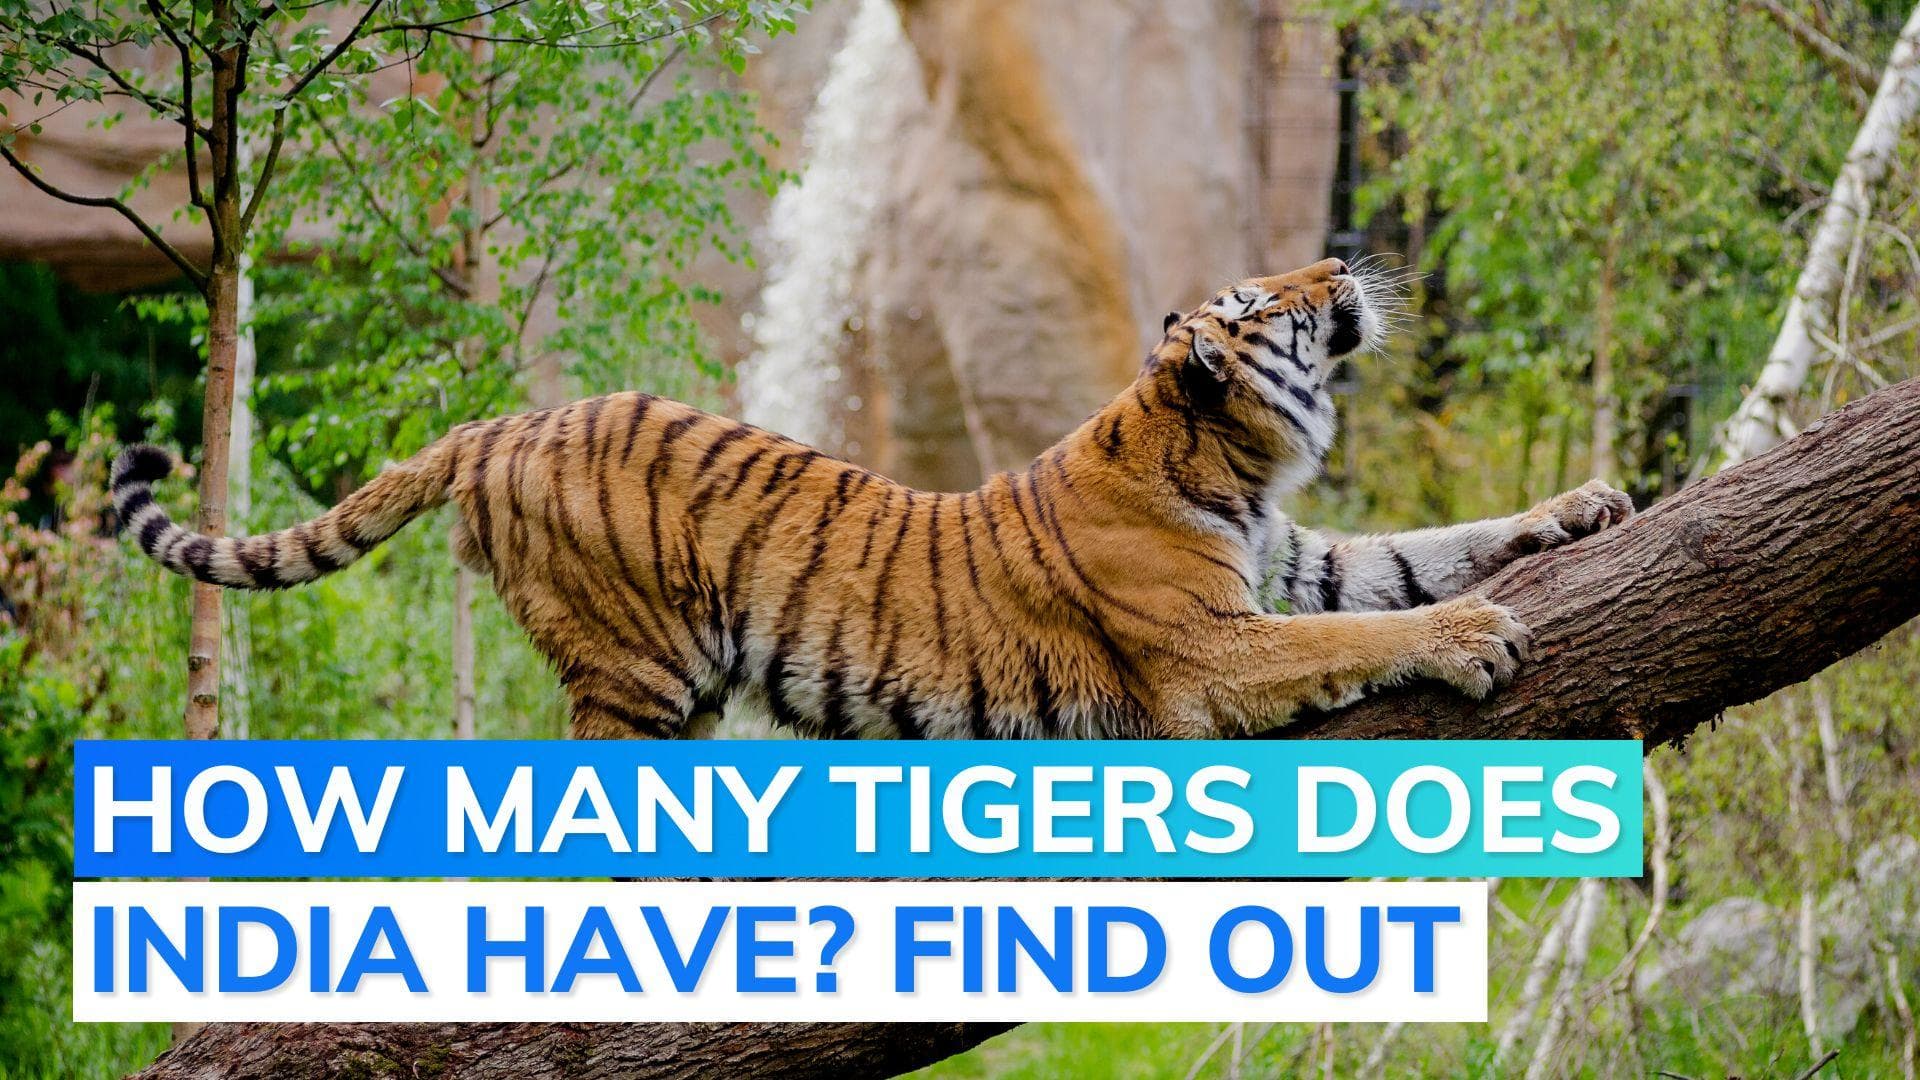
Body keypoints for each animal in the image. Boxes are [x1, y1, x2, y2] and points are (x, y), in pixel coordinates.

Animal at [111, 257, 1632, 740]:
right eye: (1270, 306)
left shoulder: (1293, 557)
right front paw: (1474, 638)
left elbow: (1421, 553)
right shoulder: (1211, 653)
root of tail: (507, 418)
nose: (1340, 266)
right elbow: (1366, 629)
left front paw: (1586, 508)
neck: (1238, 463)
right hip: (639, 669)